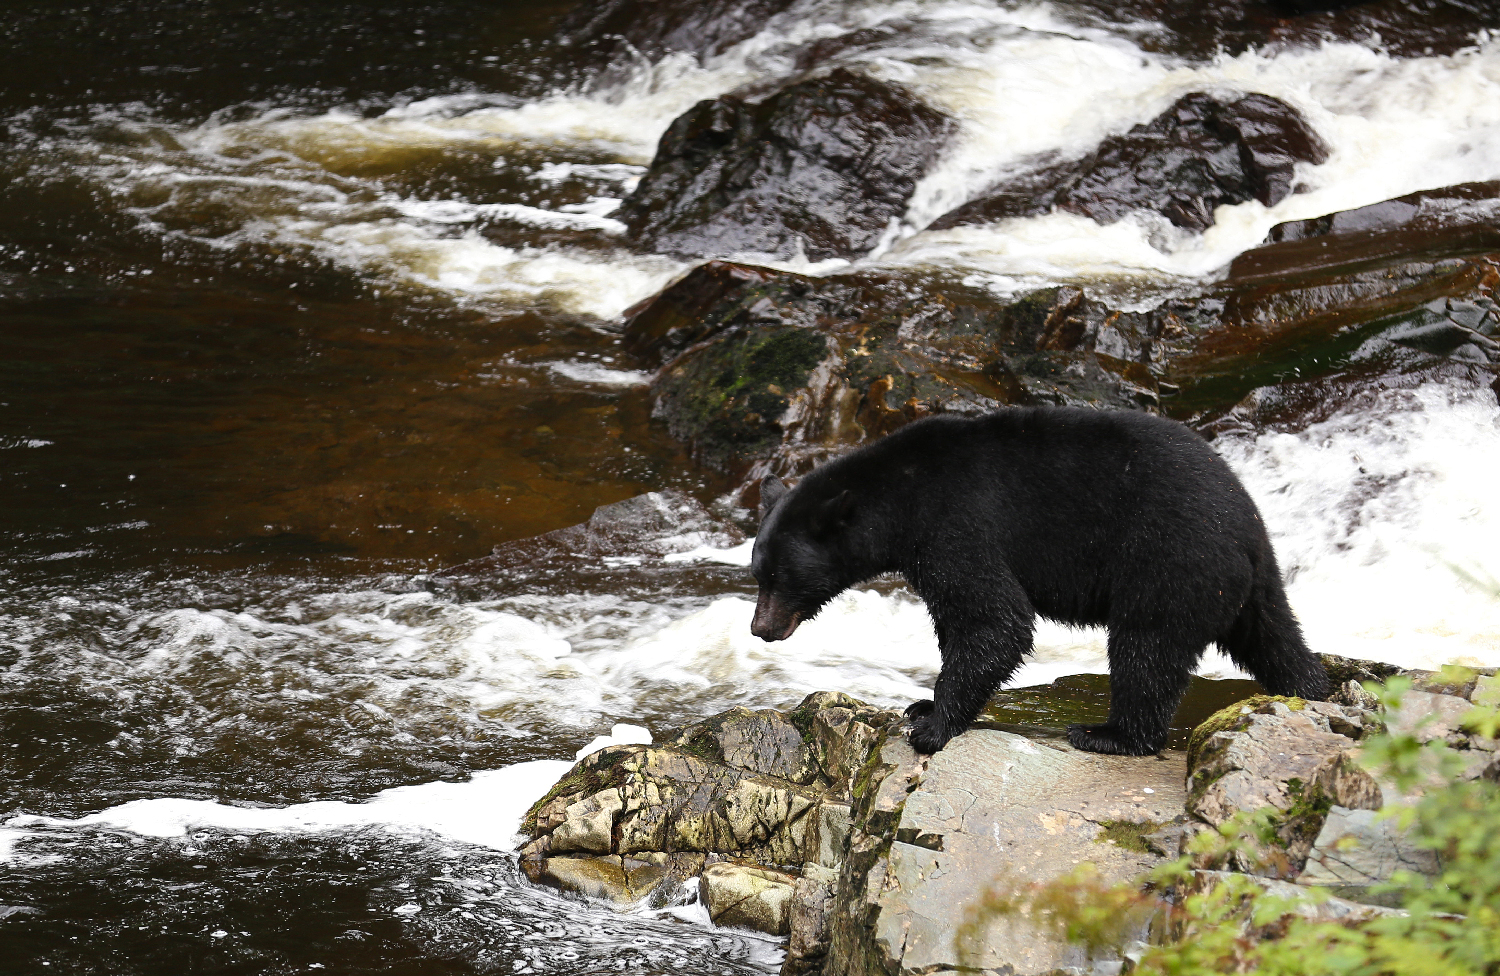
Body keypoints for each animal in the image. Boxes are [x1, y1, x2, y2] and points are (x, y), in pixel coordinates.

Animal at [747, 404, 1326, 755]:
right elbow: (965, 623)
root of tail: (1246, 526)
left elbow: (995, 619)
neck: (899, 499)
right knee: (1277, 639)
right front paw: (922, 705)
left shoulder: (955, 525)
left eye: (781, 576)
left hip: (1168, 561)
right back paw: (1311, 692)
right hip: (1244, 586)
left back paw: (1108, 733)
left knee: (1146, 649)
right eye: (758, 573)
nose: (760, 629)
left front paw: (931, 727)